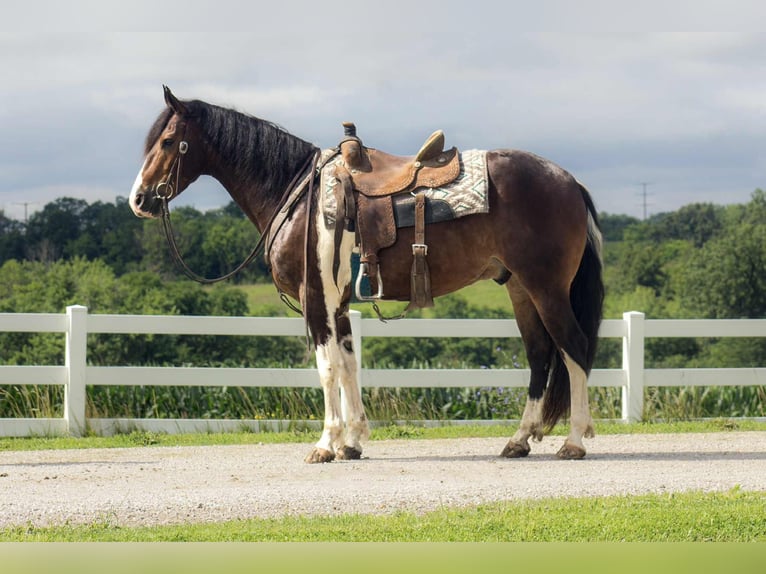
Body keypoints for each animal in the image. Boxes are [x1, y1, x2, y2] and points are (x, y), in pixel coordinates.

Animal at [129, 86, 604, 463]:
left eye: (169, 141)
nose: (139, 200)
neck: (298, 194)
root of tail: (570, 182)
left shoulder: (316, 299)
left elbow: (327, 368)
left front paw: (325, 444)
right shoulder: (338, 303)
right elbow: (349, 365)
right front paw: (353, 442)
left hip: (547, 288)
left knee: (574, 348)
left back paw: (574, 442)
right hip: (521, 290)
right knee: (540, 356)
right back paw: (519, 440)